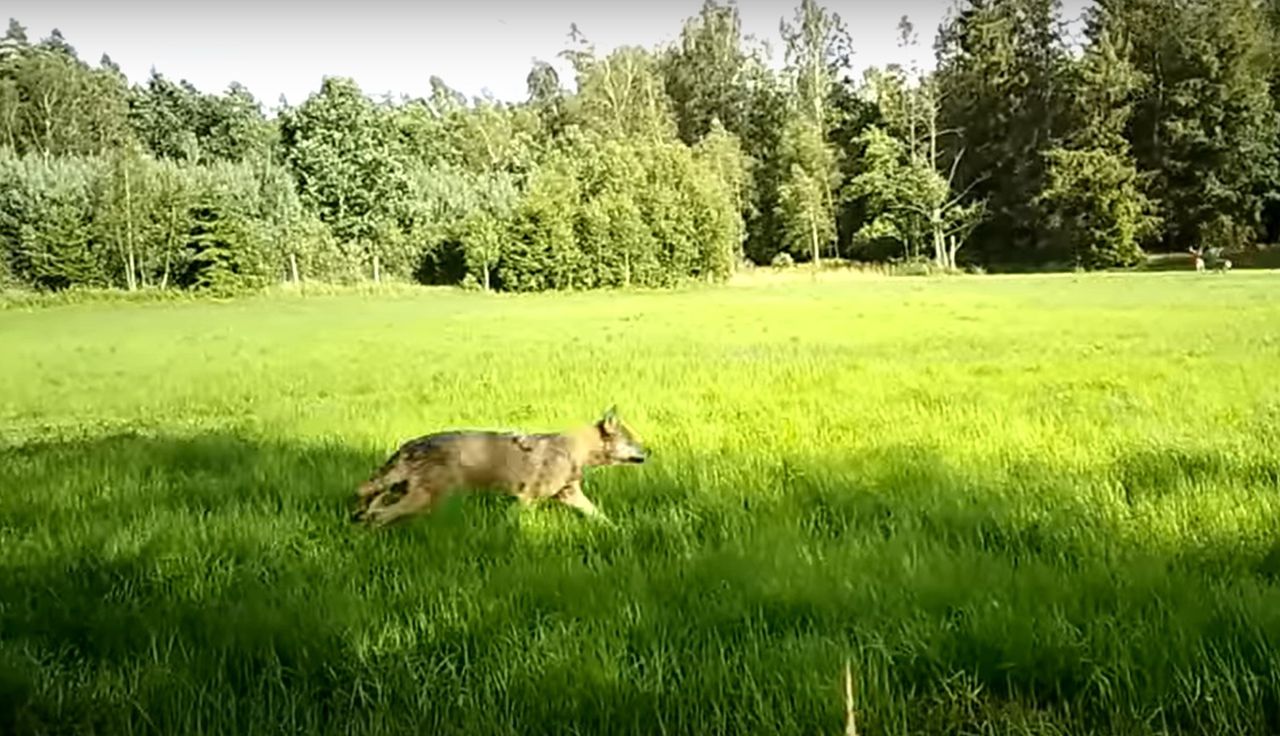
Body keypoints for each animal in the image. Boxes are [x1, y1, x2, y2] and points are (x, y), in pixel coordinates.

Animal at [350, 407, 645, 527]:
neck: (573, 451)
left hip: (406, 494)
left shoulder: (570, 496)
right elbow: (510, 523)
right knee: (378, 515)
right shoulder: (526, 498)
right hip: (423, 500)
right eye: (633, 441)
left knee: (372, 507)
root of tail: (411, 443)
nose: (649, 452)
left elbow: (601, 517)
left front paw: (620, 531)